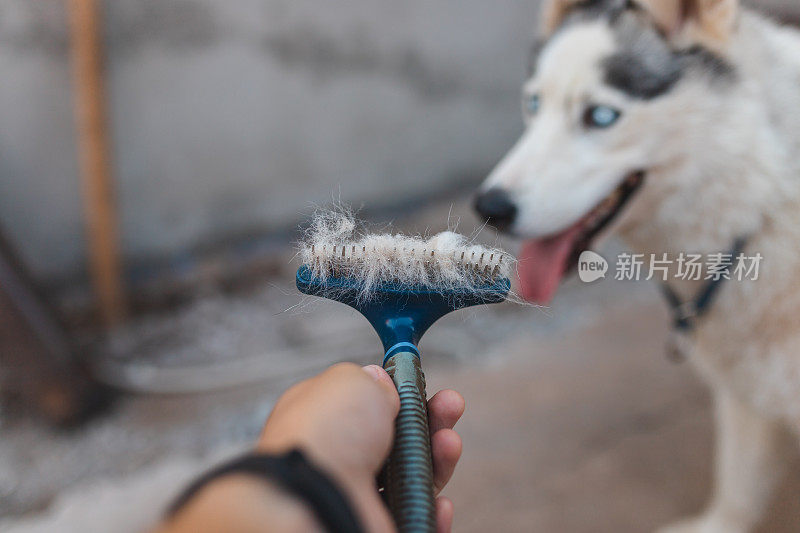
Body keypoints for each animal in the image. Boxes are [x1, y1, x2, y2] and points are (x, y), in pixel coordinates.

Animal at [476, 2, 800, 528]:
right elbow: (737, 484)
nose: (489, 207)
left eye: (601, 116)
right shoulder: (746, 389)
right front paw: (718, 525)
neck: (764, 201)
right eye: (533, 104)